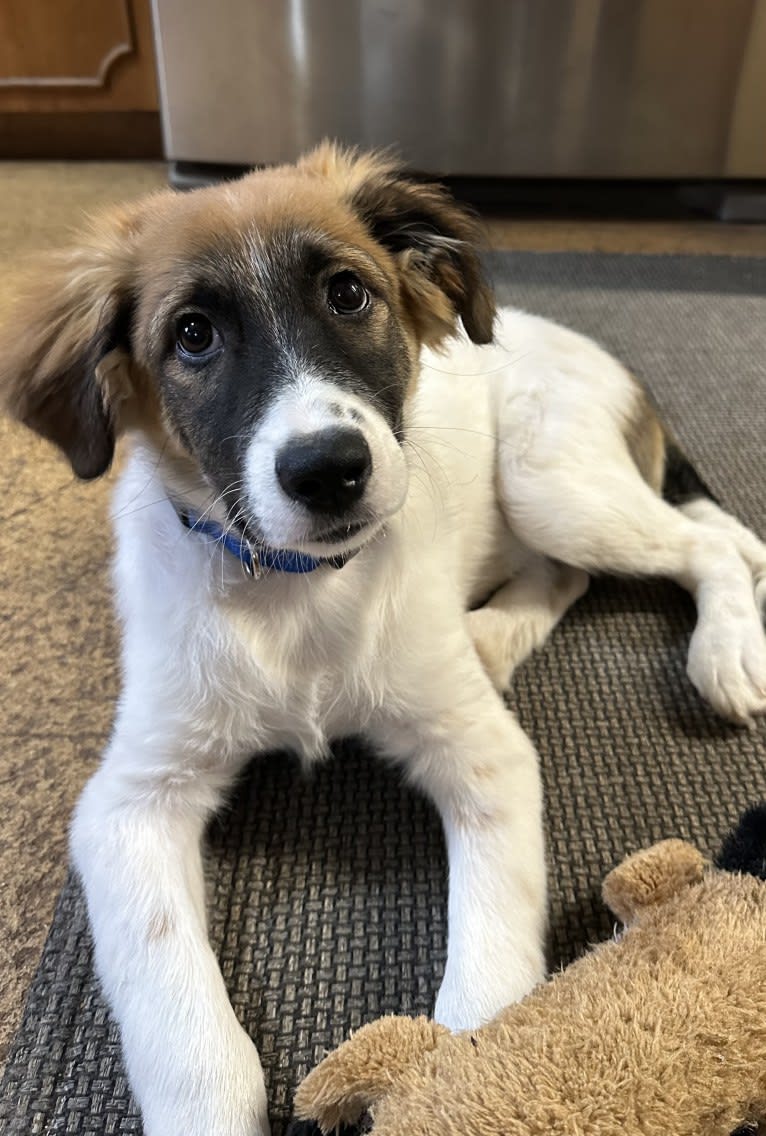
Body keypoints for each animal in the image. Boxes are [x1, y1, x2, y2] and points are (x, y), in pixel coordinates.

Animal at [1, 146, 763, 1131]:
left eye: (348, 293)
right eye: (193, 335)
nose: (329, 469)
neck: (297, 592)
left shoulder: (484, 755)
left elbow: (491, 970)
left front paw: (475, 1075)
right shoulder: (129, 802)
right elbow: (180, 1018)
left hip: (550, 480)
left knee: (711, 547)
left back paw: (724, 651)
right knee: (577, 573)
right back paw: (493, 635)